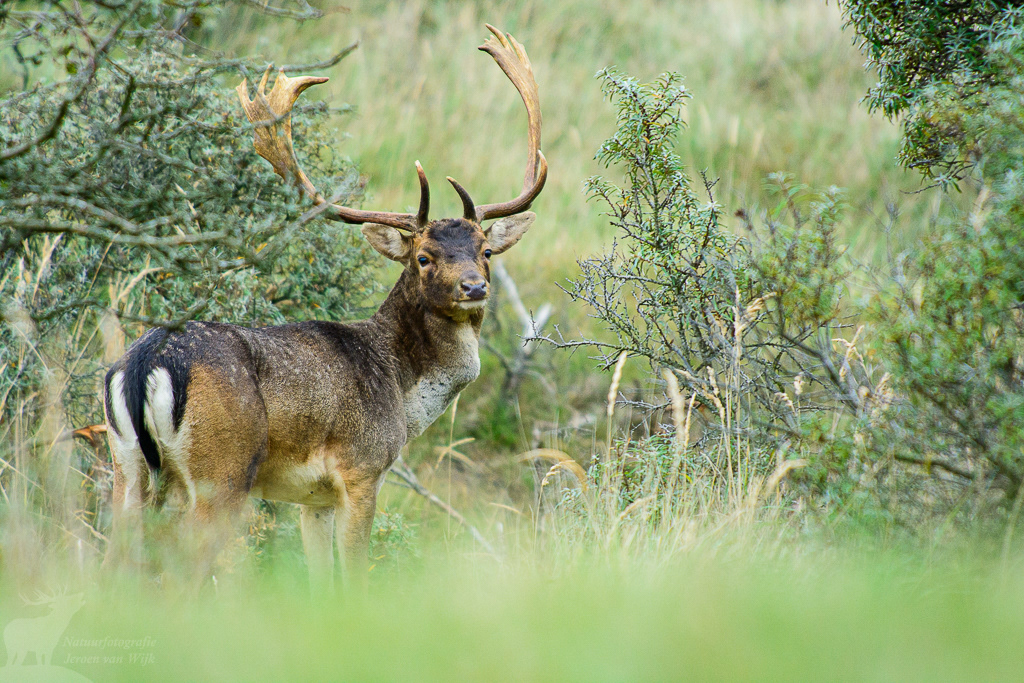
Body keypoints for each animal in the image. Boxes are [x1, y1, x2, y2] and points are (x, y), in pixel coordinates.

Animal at [102, 25, 546, 593]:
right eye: (423, 256)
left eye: (485, 250)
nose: (474, 287)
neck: (402, 392)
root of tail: (143, 364)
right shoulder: (361, 467)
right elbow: (354, 572)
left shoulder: (313, 499)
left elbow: (320, 579)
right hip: (221, 468)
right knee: (185, 569)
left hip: (126, 464)